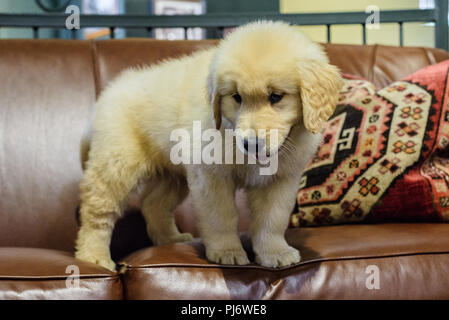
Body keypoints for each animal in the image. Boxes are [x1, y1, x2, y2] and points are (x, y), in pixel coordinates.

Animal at [75, 20, 342, 270]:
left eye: (276, 97)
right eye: (236, 97)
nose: (251, 144)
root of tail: (106, 95)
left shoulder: (281, 179)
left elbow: (272, 218)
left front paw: (275, 252)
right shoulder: (210, 174)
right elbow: (220, 216)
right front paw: (227, 252)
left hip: (173, 174)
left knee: (153, 204)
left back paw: (171, 239)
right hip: (117, 163)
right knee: (96, 211)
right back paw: (93, 256)